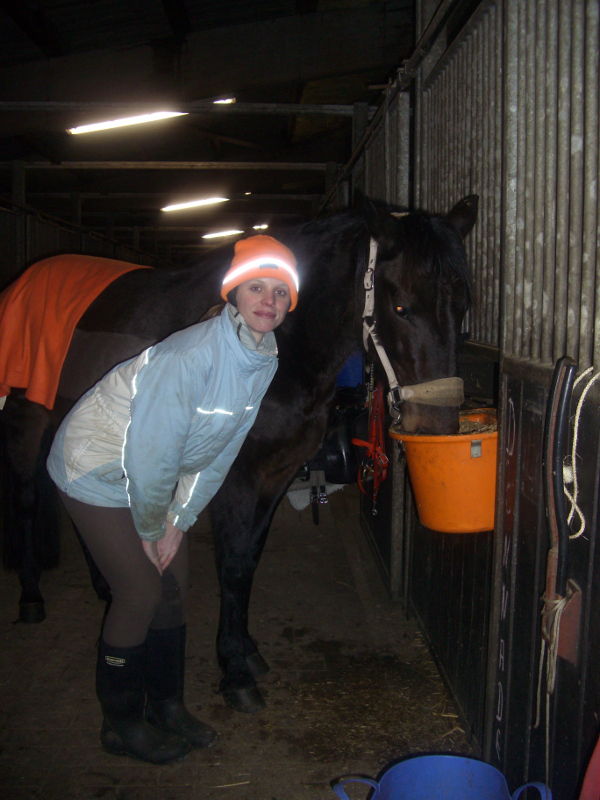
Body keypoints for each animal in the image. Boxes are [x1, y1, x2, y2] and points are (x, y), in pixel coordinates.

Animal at [0, 192, 478, 713]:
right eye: (400, 306)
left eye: (464, 308)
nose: (436, 425)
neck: (283, 347)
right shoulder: (234, 477)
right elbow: (230, 563)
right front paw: (234, 671)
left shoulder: (275, 475)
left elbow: (248, 558)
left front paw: (246, 650)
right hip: (28, 420)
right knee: (26, 500)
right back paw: (30, 597)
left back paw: (105, 586)